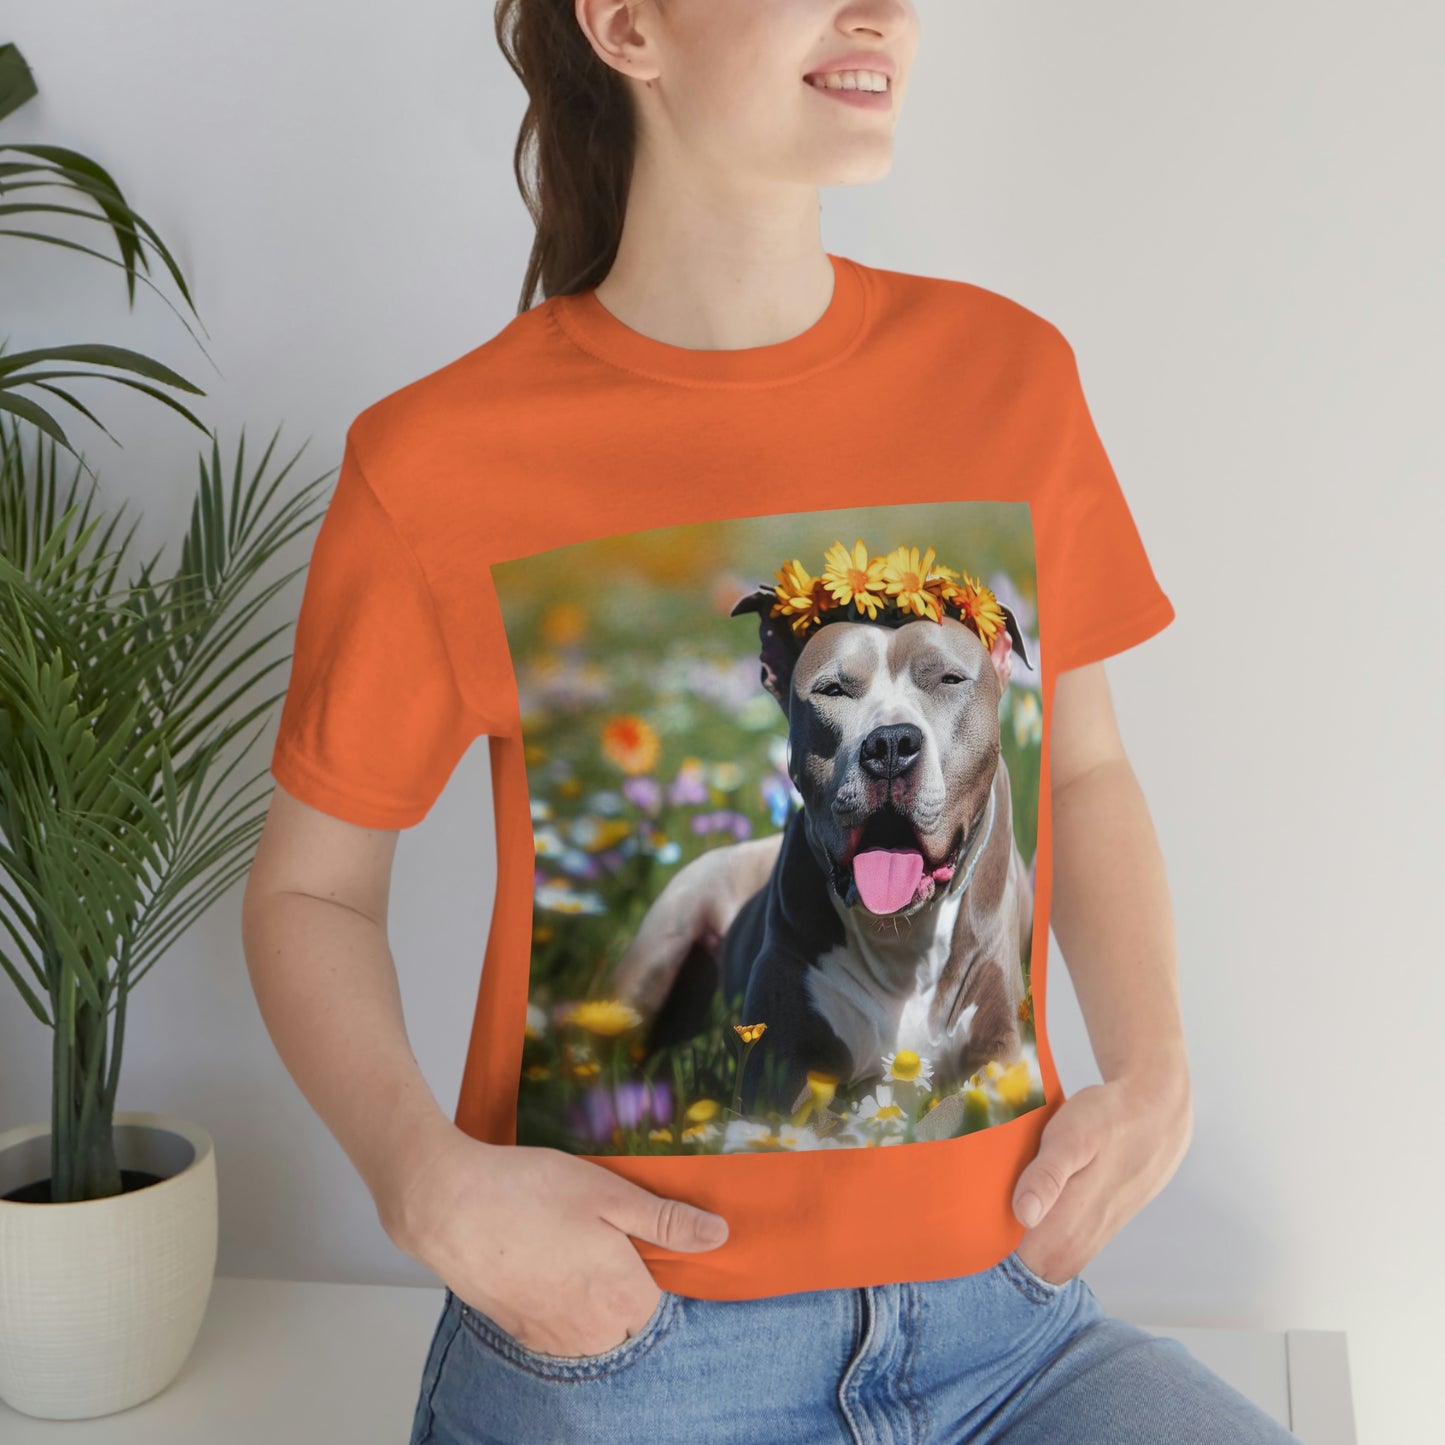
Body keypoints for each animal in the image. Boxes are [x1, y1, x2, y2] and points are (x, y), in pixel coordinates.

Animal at [638, 580, 1034, 1121]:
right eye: (832, 690)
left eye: (950, 680)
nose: (890, 744)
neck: (901, 941)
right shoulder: (777, 1067)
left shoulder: (1001, 1051)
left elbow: (953, 1110)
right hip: (665, 936)